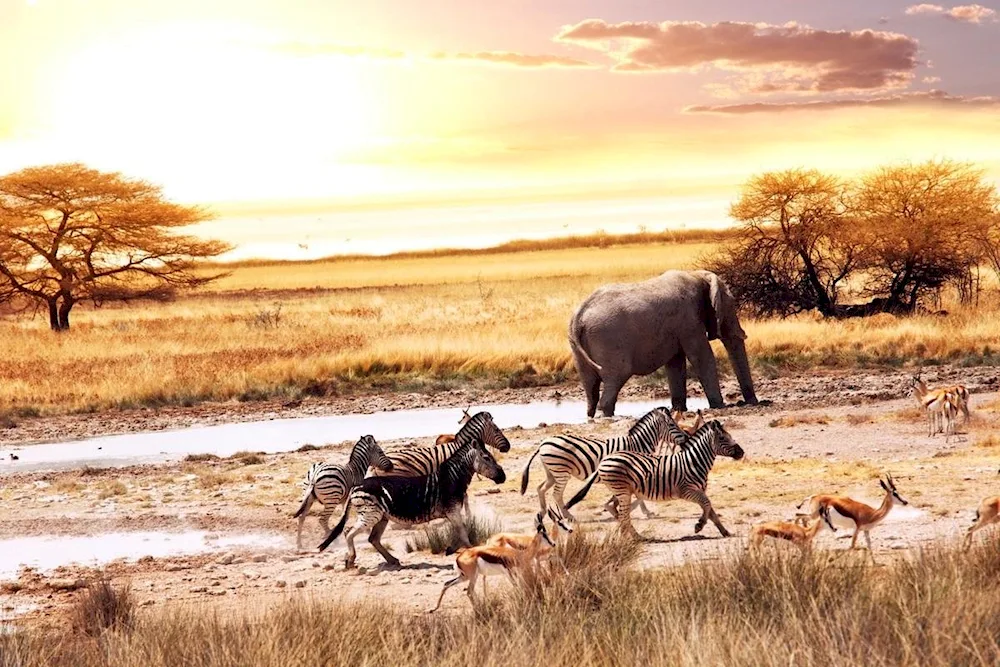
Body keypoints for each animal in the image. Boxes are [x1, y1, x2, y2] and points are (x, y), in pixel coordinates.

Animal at [318, 444, 508, 568]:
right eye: (487, 458)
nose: (503, 477)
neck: (451, 479)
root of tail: (356, 486)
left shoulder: (452, 513)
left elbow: (460, 532)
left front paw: (451, 549)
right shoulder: (452, 510)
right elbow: (464, 533)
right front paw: (471, 551)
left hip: (381, 517)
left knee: (373, 539)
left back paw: (392, 560)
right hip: (371, 515)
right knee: (349, 533)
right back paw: (350, 560)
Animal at [520, 408, 692, 520]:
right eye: (672, 425)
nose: (686, 437)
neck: (637, 444)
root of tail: (543, 442)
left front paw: (634, 510)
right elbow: (638, 495)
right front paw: (644, 512)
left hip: (551, 472)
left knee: (540, 488)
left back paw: (543, 512)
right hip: (561, 472)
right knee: (556, 494)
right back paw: (568, 516)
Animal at [564, 420, 744, 540]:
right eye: (723, 438)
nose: (741, 452)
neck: (693, 461)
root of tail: (604, 459)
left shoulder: (700, 490)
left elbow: (711, 511)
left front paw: (724, 531)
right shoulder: (686, 490)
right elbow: (707, 505)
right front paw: (699, 525)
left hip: (622, 491)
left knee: (616, 510)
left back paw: (628, 535)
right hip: (623, 491)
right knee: (623, 514)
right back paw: (635, 537)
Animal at [568, 270, 752, 418]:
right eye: (731, 305)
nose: (748, 403)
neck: (698, 275)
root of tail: (578, 317)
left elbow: (675, 363)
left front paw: (679, 409)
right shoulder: (689, 320)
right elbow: (701, 357)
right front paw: (719, 406)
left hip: (578, 345)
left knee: (590, 385)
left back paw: (592, 416)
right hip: (607, 339)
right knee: (617, 376)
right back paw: (605, 415)